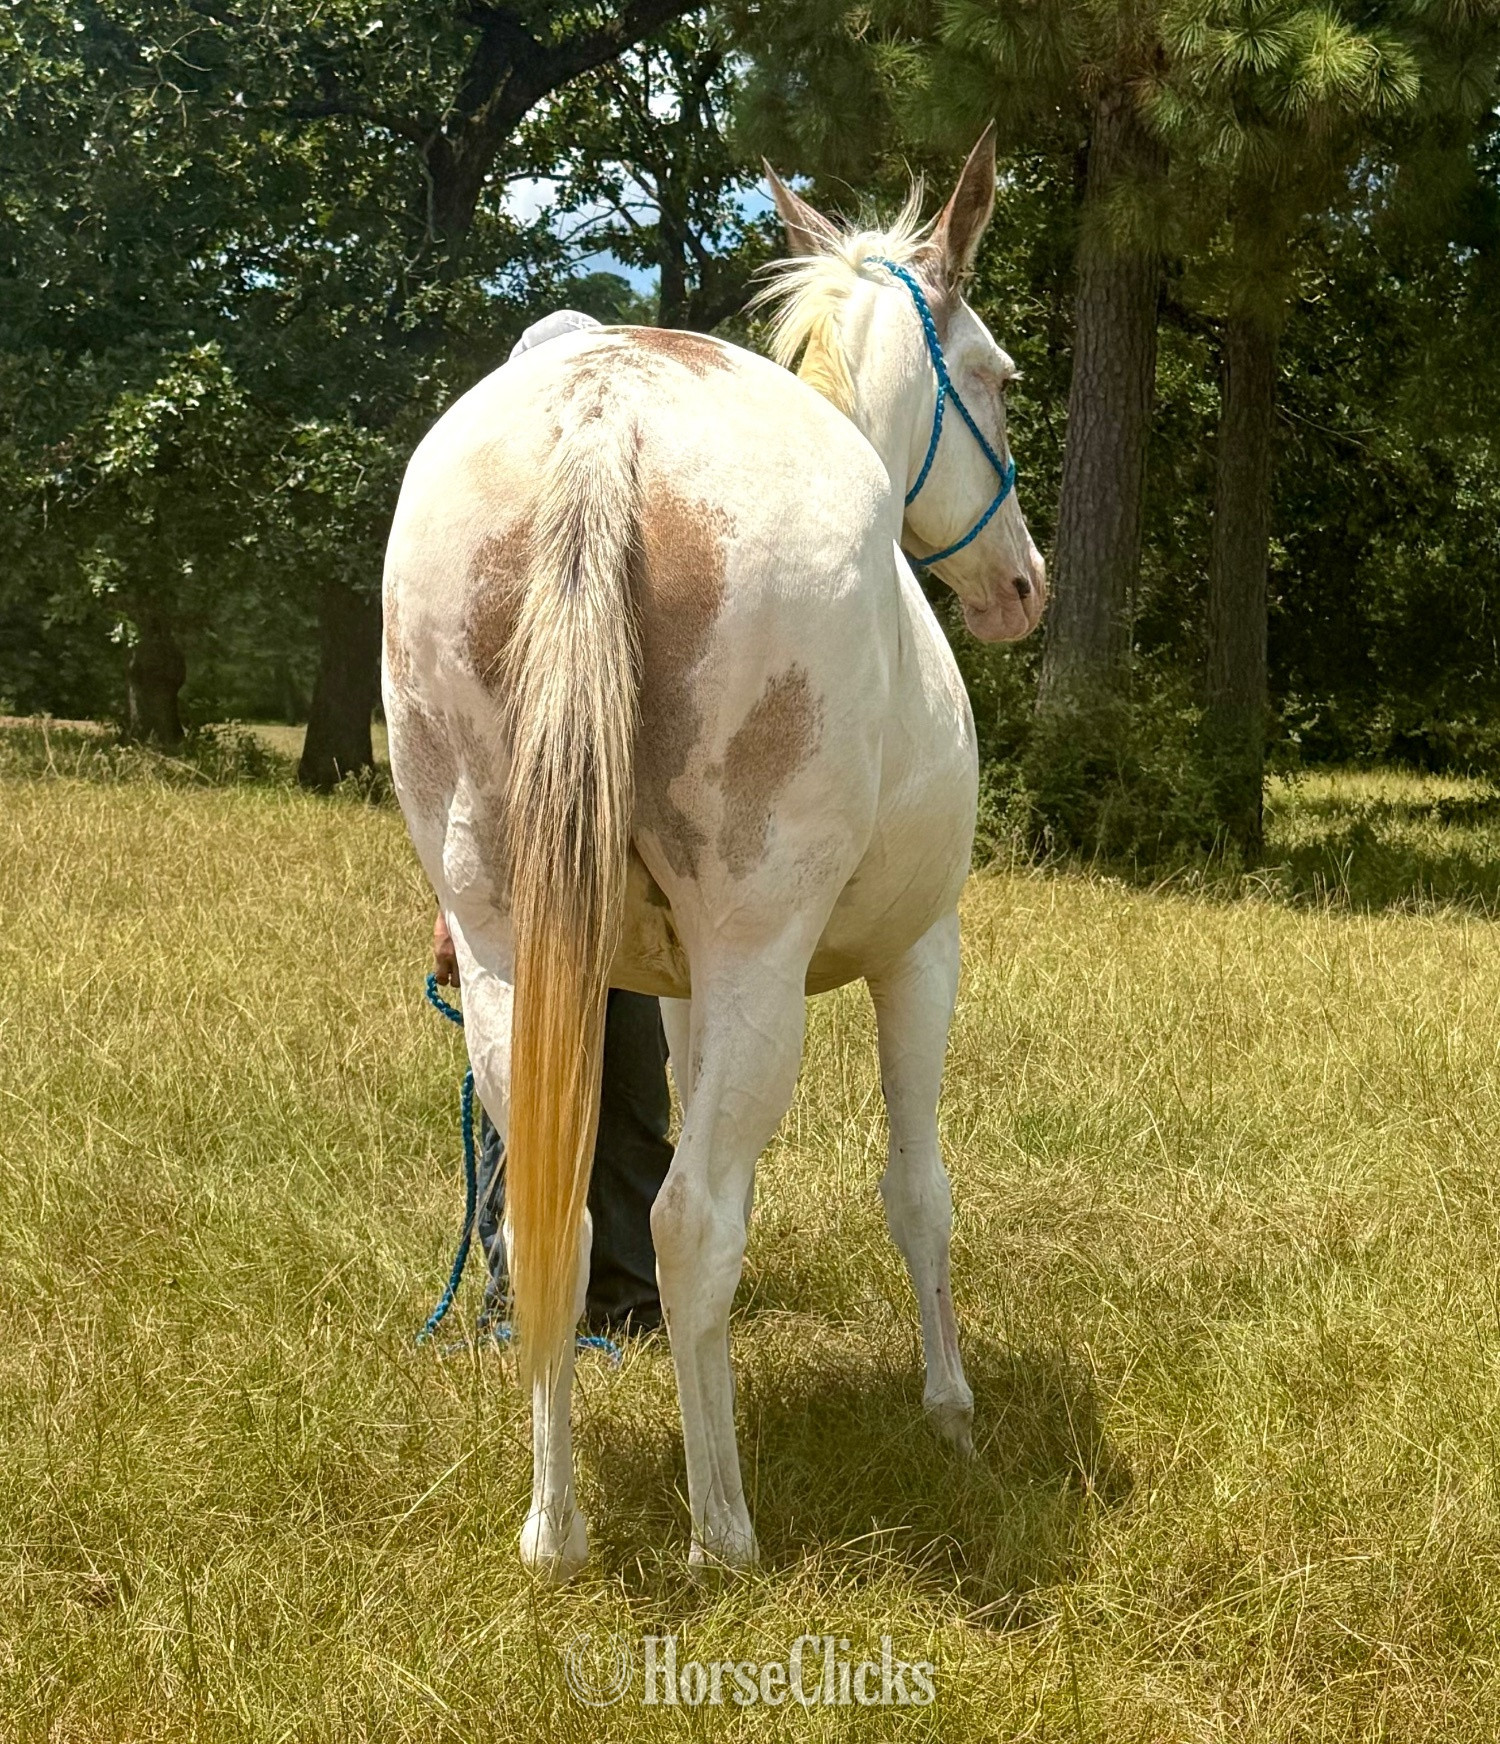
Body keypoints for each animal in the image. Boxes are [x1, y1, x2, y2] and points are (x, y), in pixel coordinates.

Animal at [381, 125, 1046, 1580]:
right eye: (994, 379)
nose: (1024, 587)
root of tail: (605, 413)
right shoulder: (921, 955)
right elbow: (919, 1190)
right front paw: (953, 1410)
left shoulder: (673, 992)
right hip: (758, 961)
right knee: (689, 1220)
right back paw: (723, 1531)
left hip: (514, 956)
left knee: (556, 1218)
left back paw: (557, 1530)